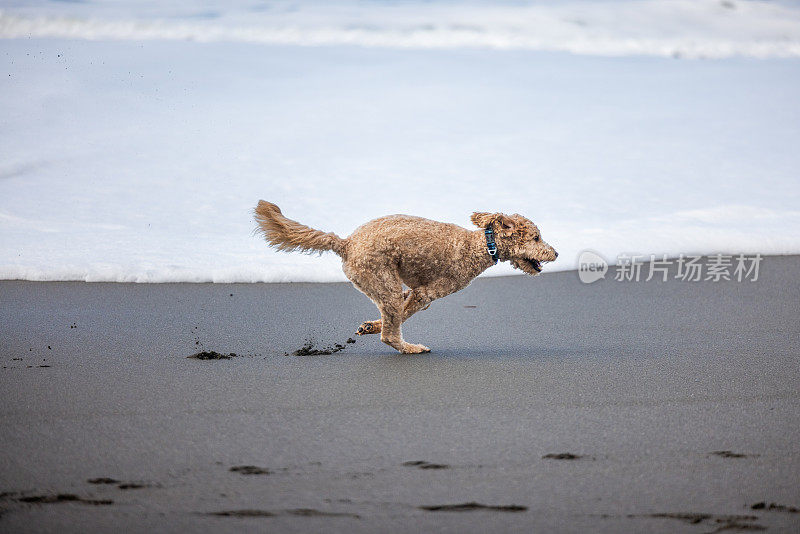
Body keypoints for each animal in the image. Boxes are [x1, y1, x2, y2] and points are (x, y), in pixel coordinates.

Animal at [256, 201, 556, 356]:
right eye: (536, 238)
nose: (556, 252)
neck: (481, 244)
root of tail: (346, 243)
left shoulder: (413, 291)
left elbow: (401, 309)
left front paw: (368, 325)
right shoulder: (427, 293)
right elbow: (405, 313)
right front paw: (375, 327)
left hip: (382, 283)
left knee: (392, 317)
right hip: (382, 279)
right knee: (390, 333)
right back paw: (411, 348)